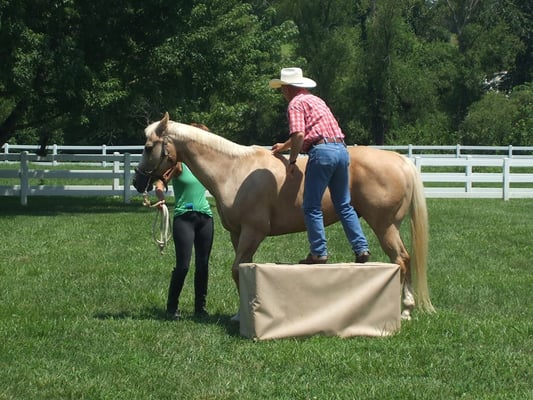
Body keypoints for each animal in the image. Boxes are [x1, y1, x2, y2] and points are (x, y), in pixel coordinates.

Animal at [132, 112, 432, 318]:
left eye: (147, 147)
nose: (136, 182)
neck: (233, 170)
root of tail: (401, 160)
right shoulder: (238, 234)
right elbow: (241, 270)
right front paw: (242, 314)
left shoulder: (253, 232)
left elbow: (235, 269)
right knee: (404, 260)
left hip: (384, 226)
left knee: (401, 260)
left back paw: (404, 310)